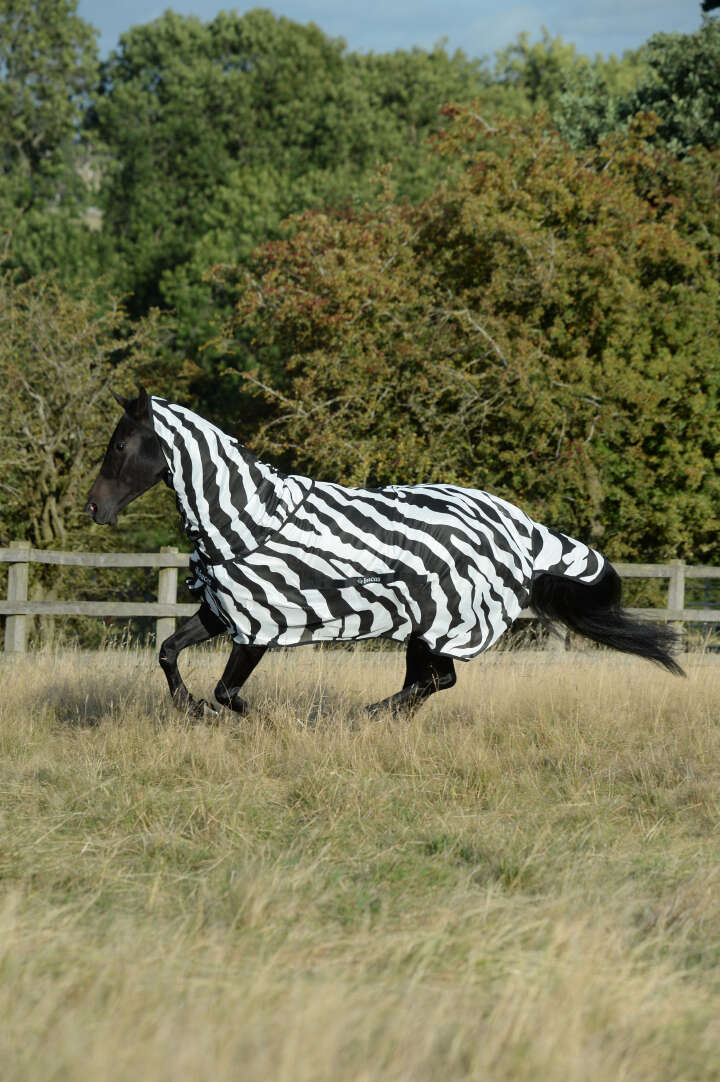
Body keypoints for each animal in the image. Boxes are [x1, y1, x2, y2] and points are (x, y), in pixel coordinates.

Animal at [86, 389, 683, 717]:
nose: (94, 508)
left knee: (433, 681)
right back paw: (378, 717)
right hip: (426, 630)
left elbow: (227, 691)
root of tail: (522, 529)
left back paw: (365, 715)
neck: (248, 519)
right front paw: (190, 711)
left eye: (120, 445)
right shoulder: (220, 610)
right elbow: (168, 652)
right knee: (430, 683)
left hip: (440, 625)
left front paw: (263, 719)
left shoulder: (259, 627)